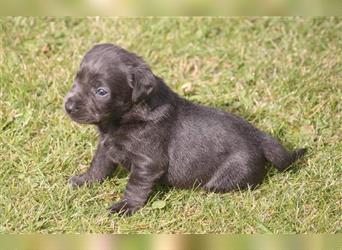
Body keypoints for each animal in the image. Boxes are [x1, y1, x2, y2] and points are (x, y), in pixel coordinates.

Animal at [64, 43, 308, 215]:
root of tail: (260, 138)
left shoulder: (147, 163)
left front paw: (126, 207)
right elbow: (98, 166)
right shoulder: (107, 146)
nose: (68, 106)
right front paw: (85, 181)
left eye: (101, 91)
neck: (123, 119)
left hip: (231, 173)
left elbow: (135, 186)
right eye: (77, 80)